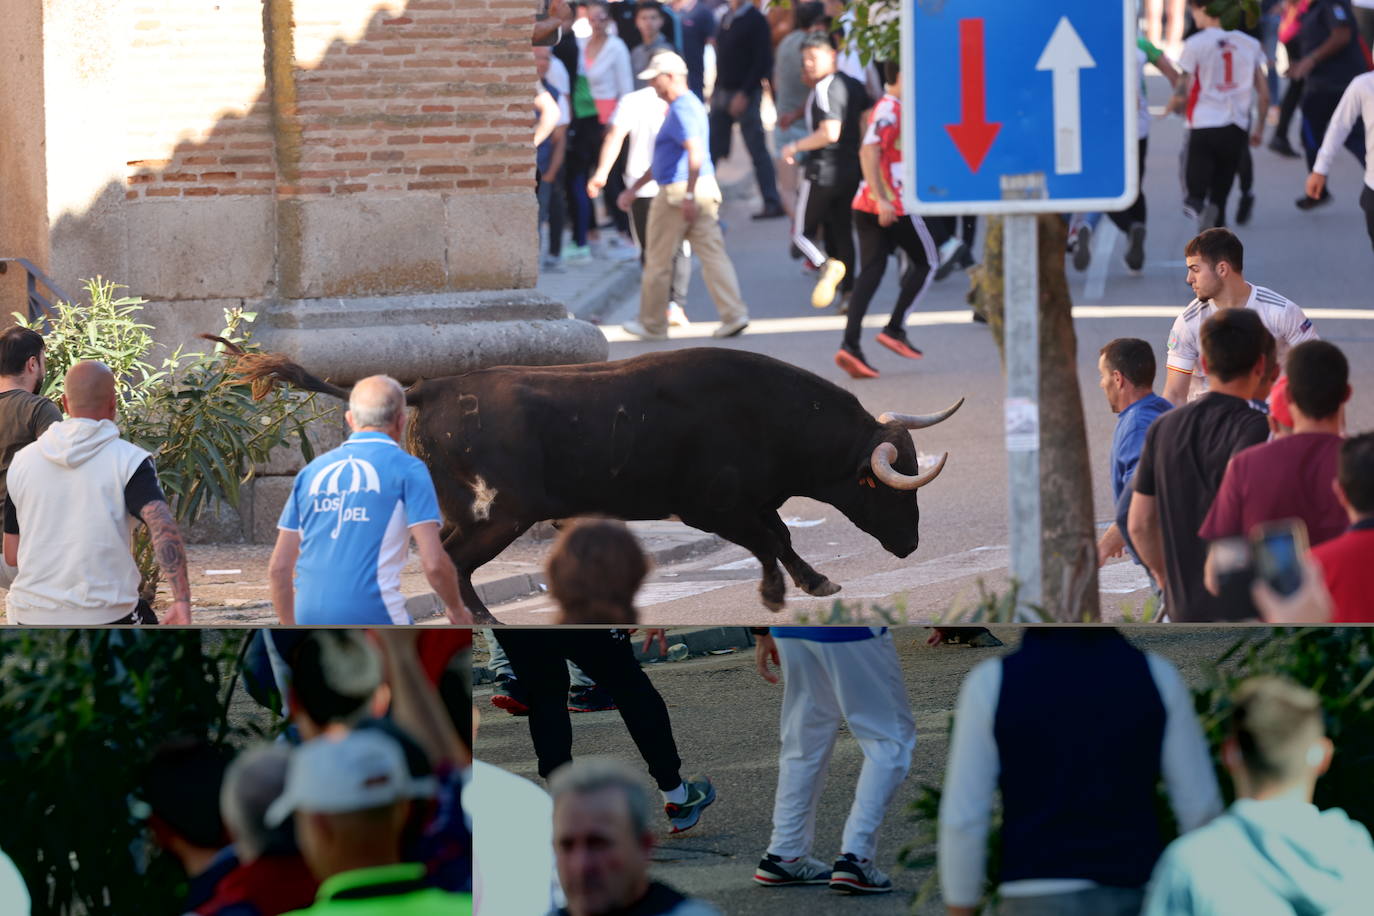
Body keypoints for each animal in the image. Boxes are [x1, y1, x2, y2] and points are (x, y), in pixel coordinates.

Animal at [219, 340, 961, 626]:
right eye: (882, 487)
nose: (909, 547)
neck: (765, 413)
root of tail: (433, 387)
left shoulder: (742, 503)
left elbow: (776, 532)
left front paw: (806, 583)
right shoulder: (708, 506)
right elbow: (769, 537)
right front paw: (791, 588)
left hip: (472, 512)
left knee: (444, 563)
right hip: (498, 515)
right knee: (454, 564)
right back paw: (482, 620)